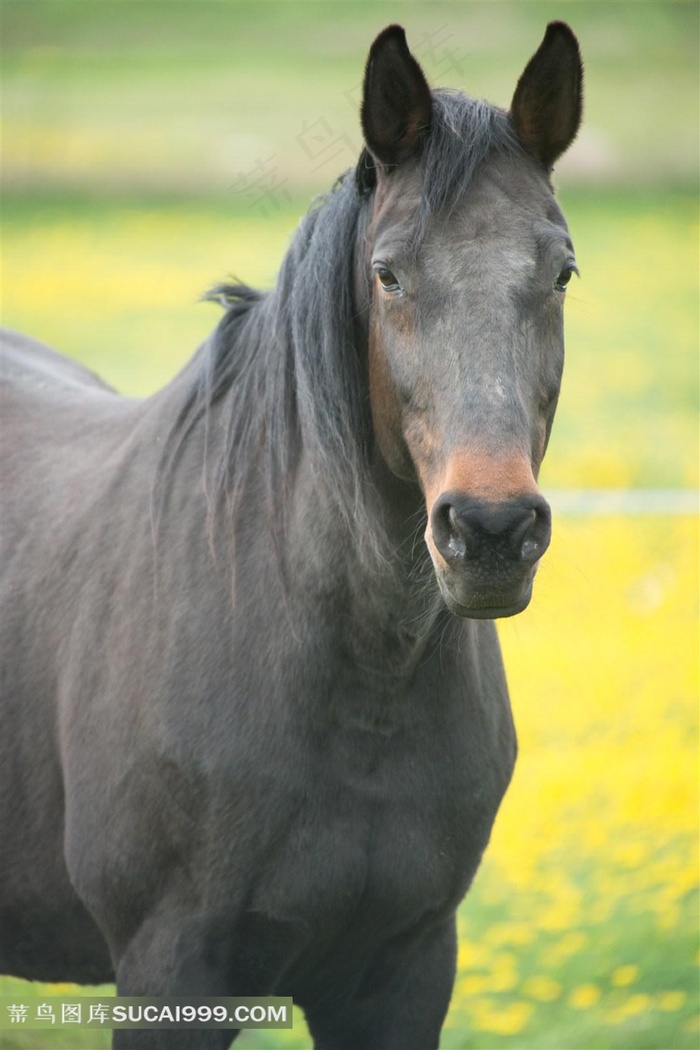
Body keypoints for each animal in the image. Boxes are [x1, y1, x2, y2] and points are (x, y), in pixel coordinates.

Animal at [0, 18, 583, 1050]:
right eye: (388, 274)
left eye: (561, 270)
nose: (491, 530)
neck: (360, 687)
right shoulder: (169, 977)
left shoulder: (402, 971)